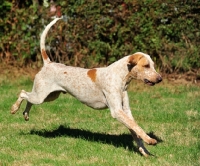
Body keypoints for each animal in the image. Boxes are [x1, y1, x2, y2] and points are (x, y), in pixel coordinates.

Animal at [10, 18, 162, 157]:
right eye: (146, 66)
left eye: (153, 65)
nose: (160, 78)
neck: (120, 78)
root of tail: (48, 63)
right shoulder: (117, 111)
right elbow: (137, 127)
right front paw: (150, 140)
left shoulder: (126, 111)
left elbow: (135, 130)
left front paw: (145, 151)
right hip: (40, 96)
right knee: (23, 93)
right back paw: (14, 108)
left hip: (49, 96)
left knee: (29, 99)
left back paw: (25, 114)